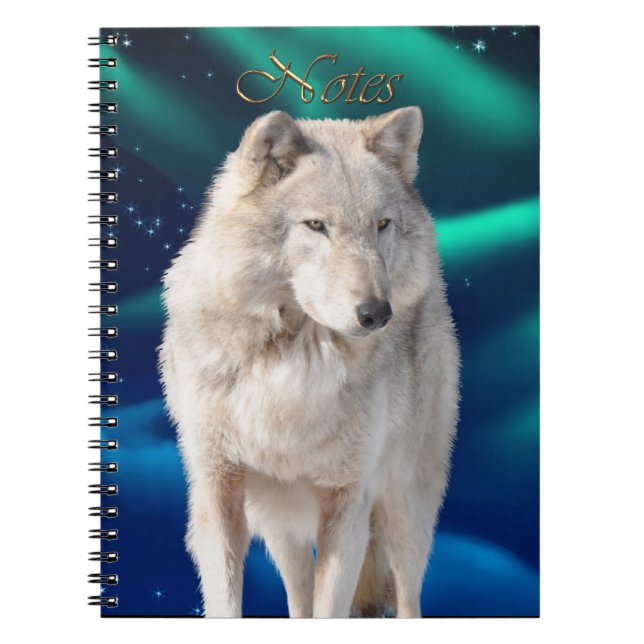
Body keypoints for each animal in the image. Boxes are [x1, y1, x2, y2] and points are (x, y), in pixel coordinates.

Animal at [159, 106, 459, 618]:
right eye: (317, 226)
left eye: (381, 224)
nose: (377, 313)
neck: (294, 364)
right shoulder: (218, 498)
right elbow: (228, 602)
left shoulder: (347, 503)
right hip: (281, 523)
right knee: (298, 598)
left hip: (404, 505)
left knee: (408, 596)